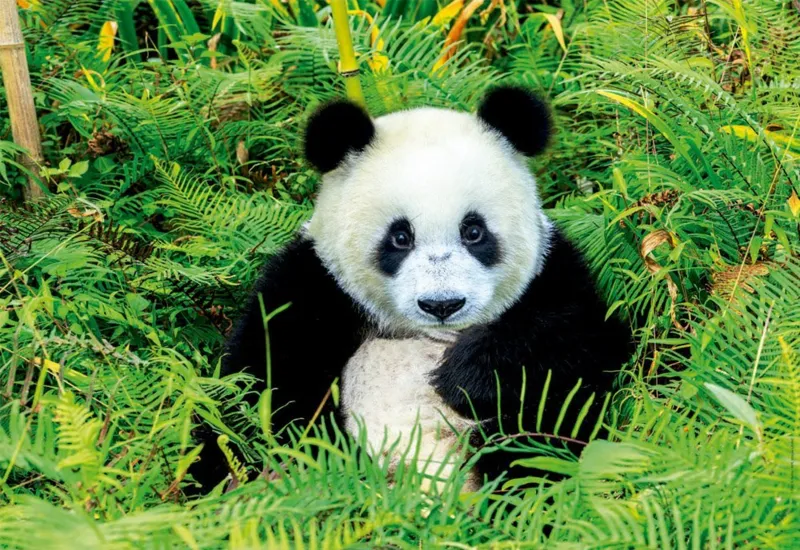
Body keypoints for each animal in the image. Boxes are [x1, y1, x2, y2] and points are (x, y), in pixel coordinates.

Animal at [190, 85, 632, 493]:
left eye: (473, 231)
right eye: (400, 237)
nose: (442, 304)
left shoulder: (552, 274)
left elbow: (583, 344)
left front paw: (464, 373)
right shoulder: (314, 285)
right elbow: (256, 386)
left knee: (536, 440)